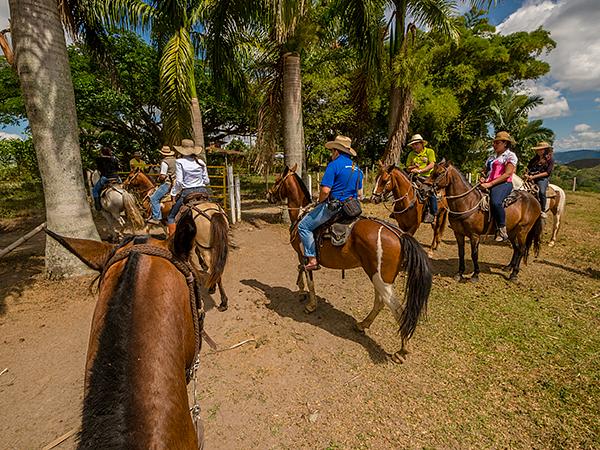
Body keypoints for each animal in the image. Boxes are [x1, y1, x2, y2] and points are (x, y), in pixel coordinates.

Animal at [268, 164, 432, 362]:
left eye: (277, 181)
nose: (269, 195)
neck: (301, 214)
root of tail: (400, 235)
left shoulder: (305, 255)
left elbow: (309, 279)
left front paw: (311, 304)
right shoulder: (302, 256)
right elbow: (300, 271)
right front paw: (300, 291)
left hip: (380, 279)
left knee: (398, 310)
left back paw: (402, 350)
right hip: (378, 277)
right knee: (380, 302)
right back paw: (363, 324)